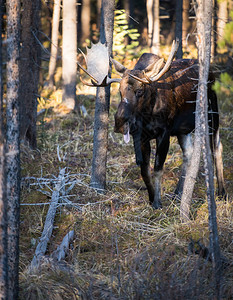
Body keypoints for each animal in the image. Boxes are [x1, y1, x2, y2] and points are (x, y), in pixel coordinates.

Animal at [78, 40, 226, 209]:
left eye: (139, 91)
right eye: (120, 91)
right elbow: (144, 170)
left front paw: (157, 202)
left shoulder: (164, 132)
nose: (119, 121)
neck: (148, 115)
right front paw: (151, 198)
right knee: (188, 152)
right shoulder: (142, 136)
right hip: (183, 129)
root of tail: (212, 73)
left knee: (217, 147)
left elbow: (158, 168)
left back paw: (222, 193)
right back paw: (178, 193)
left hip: (212, 114)